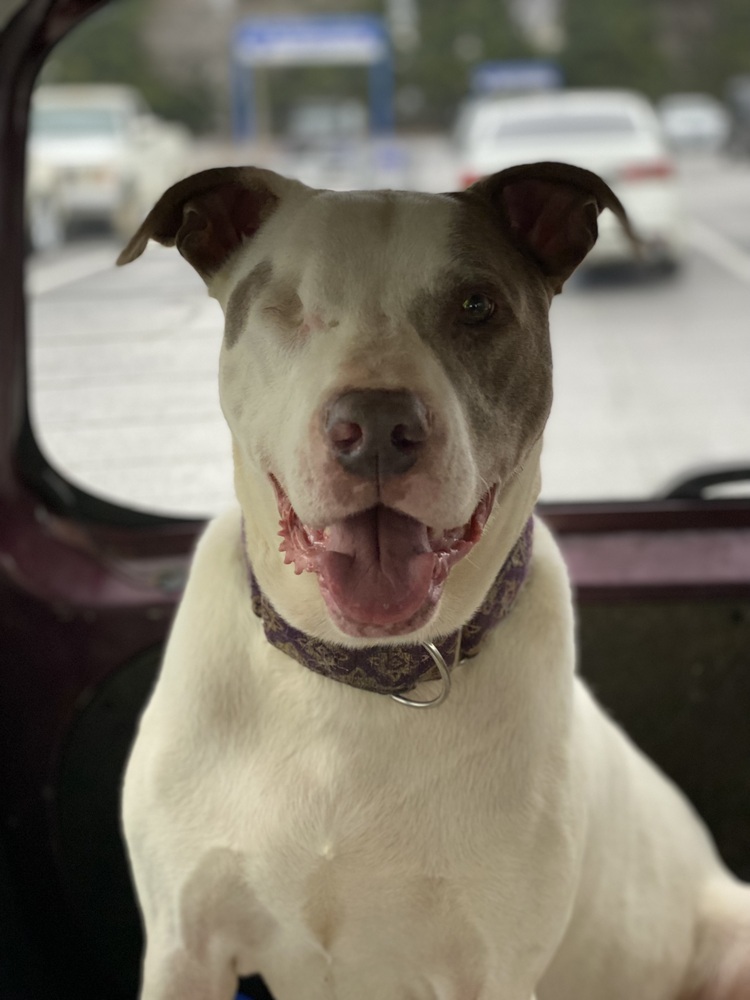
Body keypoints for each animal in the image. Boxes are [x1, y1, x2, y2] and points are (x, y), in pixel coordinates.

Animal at [117, 160, 750, 996]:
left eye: (476, 306)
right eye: (288, 306)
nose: (377, 429)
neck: (361, 679)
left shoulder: (491, 969)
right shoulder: (184, 947)